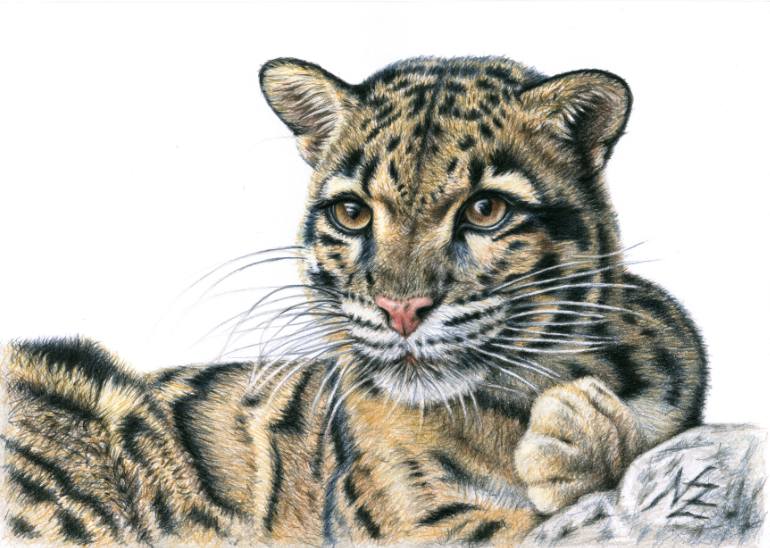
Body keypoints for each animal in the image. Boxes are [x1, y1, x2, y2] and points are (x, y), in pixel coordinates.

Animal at [0, 56, 707, 545]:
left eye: (486, 210)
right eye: (352, 213)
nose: (401, 311)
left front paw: (585, 433)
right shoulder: (402, 515)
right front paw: (576, 435)